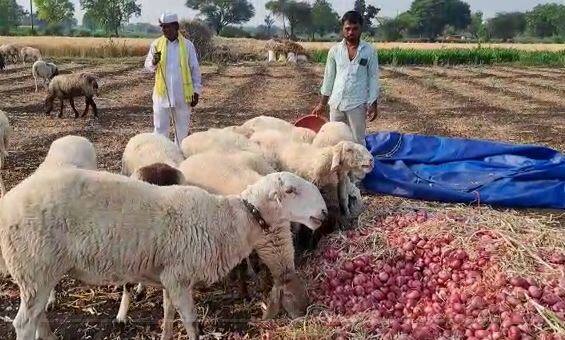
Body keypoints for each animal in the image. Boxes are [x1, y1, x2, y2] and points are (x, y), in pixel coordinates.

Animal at [0, 170, 326, 340]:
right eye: (292, 191)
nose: (323, 213)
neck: (232, 221)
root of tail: (9, 201)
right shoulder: (180, 276)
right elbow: (191, 321)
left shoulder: (170, 276)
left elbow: (169, 314)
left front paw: (166, 335)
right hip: (34, 266)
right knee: (24, 324)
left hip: (41, 272)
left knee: (38, 315)